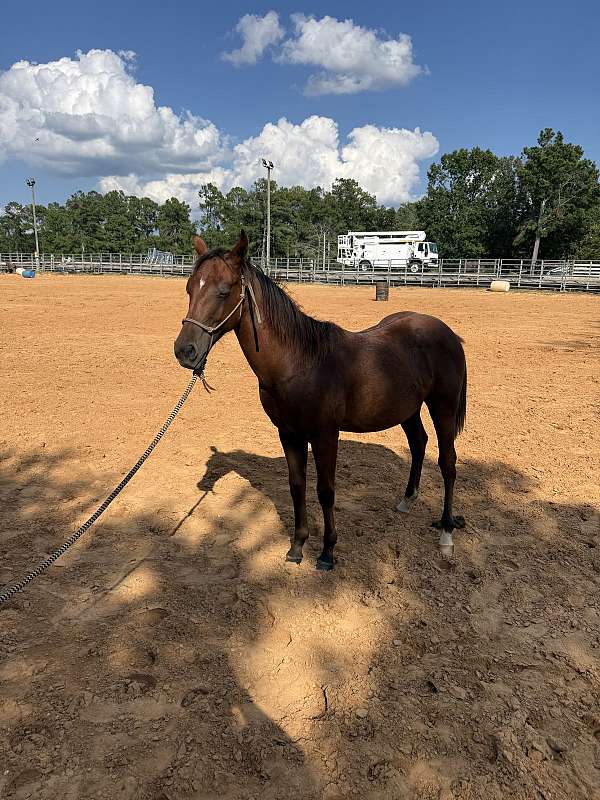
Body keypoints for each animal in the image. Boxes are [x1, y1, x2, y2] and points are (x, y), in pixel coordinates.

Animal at [174, 231, 467, 569]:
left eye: (223, 291)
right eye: (189, 288)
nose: (185, 351)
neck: (299, 364)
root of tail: (448, 333)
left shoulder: (325, 435)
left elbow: (325, 490)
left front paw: (327, 552)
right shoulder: (289, 434)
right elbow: (297, 485)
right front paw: (297, 546)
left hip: (443, 407)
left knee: (448, 462)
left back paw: (446, 532)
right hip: (408, 409)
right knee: (419, 444)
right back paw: (407, 500)